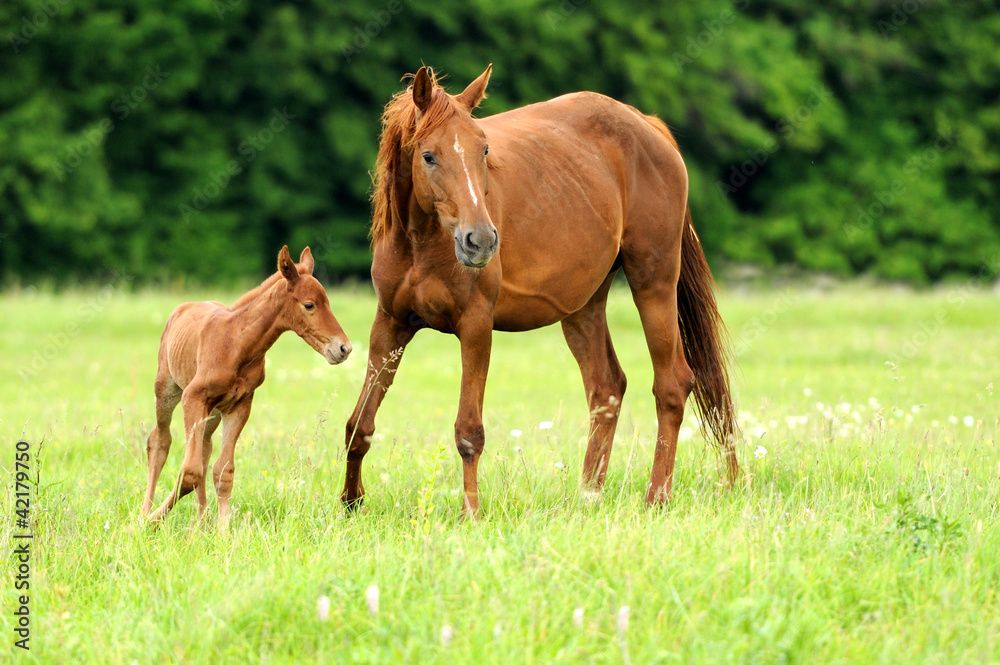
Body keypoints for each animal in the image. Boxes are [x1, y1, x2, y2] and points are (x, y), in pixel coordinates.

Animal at [142, 246, 352, 529]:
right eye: (309, 305)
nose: (344, 348)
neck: (237, 343)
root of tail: (183, 307)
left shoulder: (240, 404)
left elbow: (223, 471)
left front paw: (222, 531)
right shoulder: (192, 397)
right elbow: (190, 471)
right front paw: (149, 522)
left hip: (213, 411)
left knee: (205, 449)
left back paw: (202, 521)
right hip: (167, 388)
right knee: (160, 441)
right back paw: (145, 513)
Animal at [344, 65, 740, 517]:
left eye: (483, 150)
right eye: (428, 156)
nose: (481, 240)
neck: (421, 243)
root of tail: (649, 128)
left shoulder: (475, 327)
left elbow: (469, 432)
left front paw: (470, 514)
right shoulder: (390, 325)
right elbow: (359, 424)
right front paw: (350, 502)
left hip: (653, 283)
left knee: (672, 385)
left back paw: (655, 497)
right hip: (583, 306)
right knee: (606, 387)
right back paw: (588, 496)